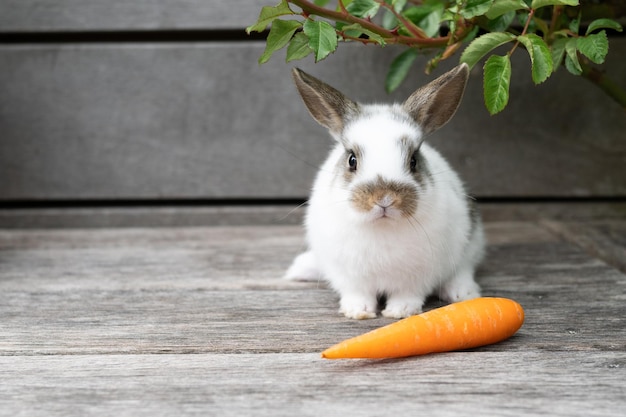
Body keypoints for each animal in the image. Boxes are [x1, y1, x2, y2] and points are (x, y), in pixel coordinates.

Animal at [282, 64, 482, 318]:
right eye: (352, 160)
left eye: (413, 161)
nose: (385, 198)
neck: (382, 226)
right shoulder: (349, 276)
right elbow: (358, 293)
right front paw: (357, 311)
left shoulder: (418, 276)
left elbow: (408, 294)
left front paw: (401, 311)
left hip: (471, 246)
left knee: (462, 270)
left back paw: (462, 293)